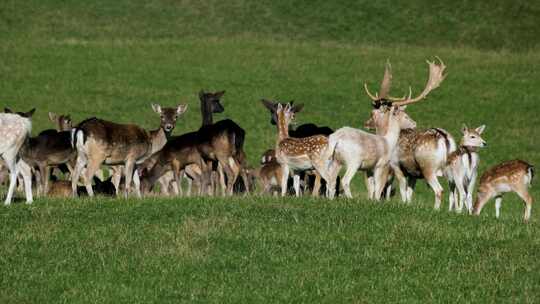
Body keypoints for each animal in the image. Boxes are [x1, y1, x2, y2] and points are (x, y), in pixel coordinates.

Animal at [362, 57, 452, 209]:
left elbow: (401, 189)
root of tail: (443, 139)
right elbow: (409, 192)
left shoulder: (395, 165)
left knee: (439, 190)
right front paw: (408, 204)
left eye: (373, 113)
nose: (366, 124)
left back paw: (436, 210)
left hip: (428, 167)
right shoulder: (413, 174)